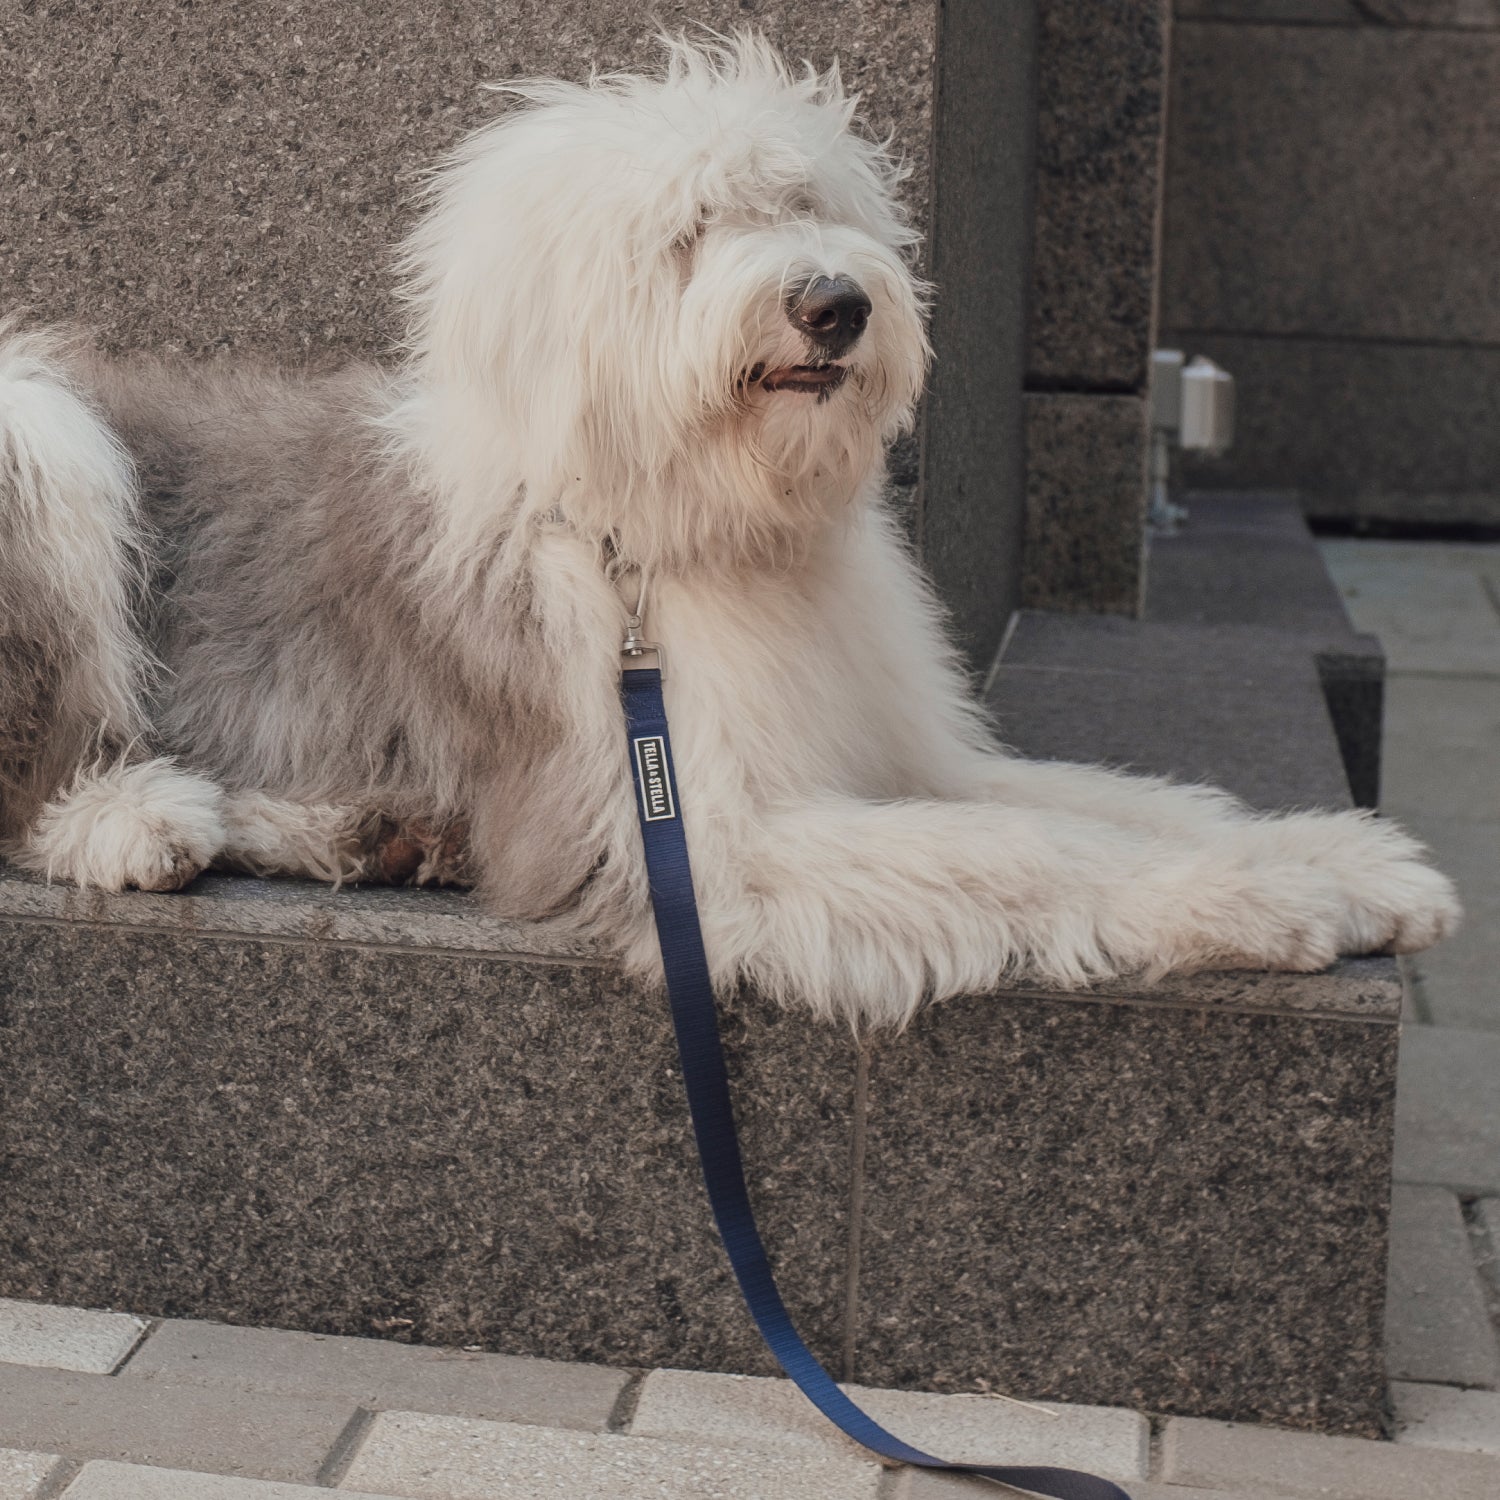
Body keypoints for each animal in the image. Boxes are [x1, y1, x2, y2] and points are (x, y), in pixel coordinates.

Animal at [0, 35, 1452, 1026]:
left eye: (811, 204)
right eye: (691, 232)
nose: (833, 304)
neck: (687, 531)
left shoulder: (907, 750)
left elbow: (1110, 804)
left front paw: (1345, 864)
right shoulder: (712, 845)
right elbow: (1035, 851)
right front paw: (1265, 902)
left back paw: (365, 831)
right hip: (47, 437)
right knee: (35, 771)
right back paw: (139, 823)